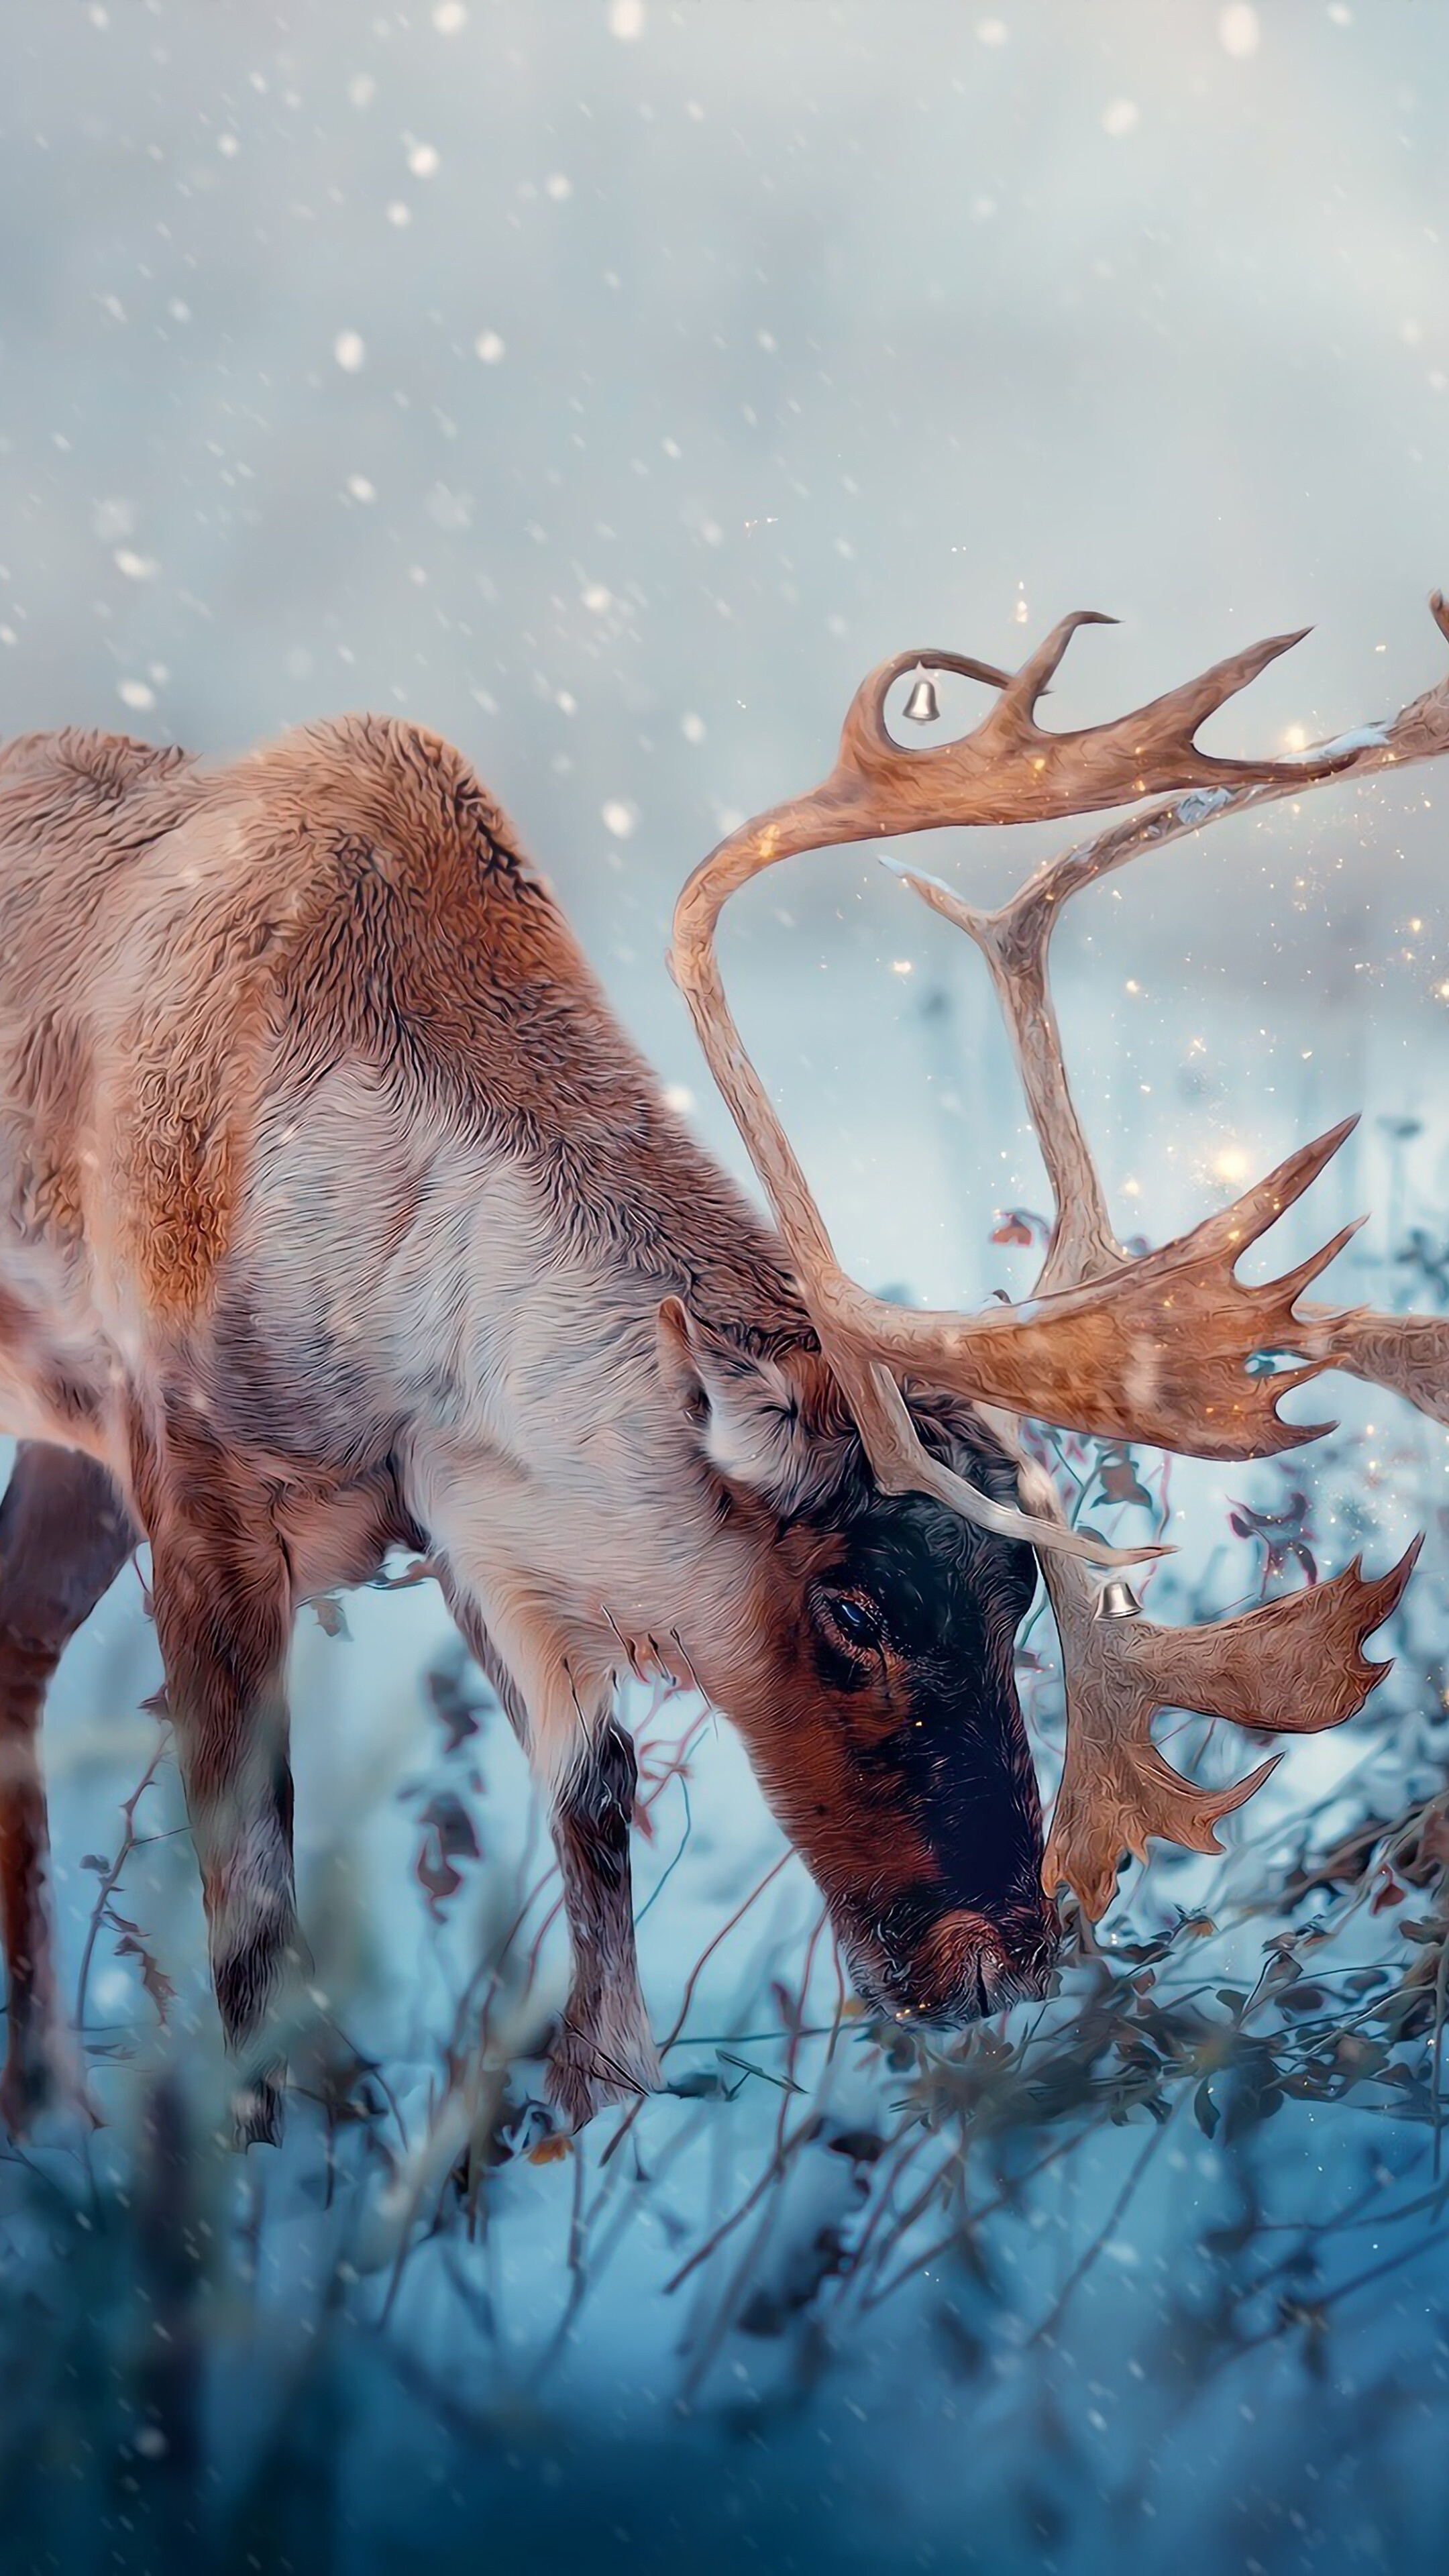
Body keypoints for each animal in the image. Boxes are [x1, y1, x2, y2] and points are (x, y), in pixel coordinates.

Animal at [0, 601, 1446, 2146]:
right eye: (853, 1606)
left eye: (1017, 1598)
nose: (1001, 1965)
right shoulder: (195, 1481)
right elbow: (255, 1903)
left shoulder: (469, 1514)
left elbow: (595, 1797)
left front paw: (602, 2098)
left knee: (17, 1652)